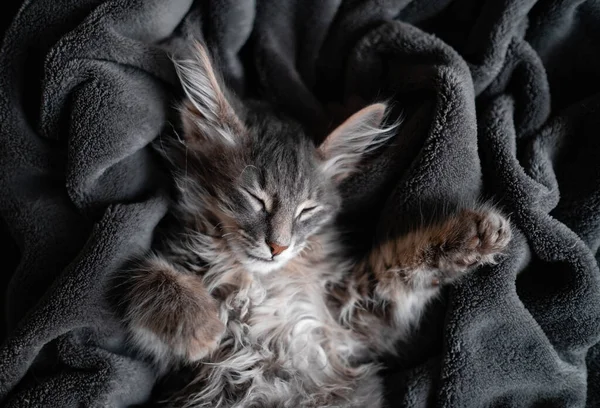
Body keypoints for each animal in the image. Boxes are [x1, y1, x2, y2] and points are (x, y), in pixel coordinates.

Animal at [119, 43, 512, 406]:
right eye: (256, 199)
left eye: (306, 210)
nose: (278, 246)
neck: (258, 280)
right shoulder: (169, 358)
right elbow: (145, 276)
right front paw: (201, 327)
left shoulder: (352, 321)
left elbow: (398, 268)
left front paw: (474, 235)